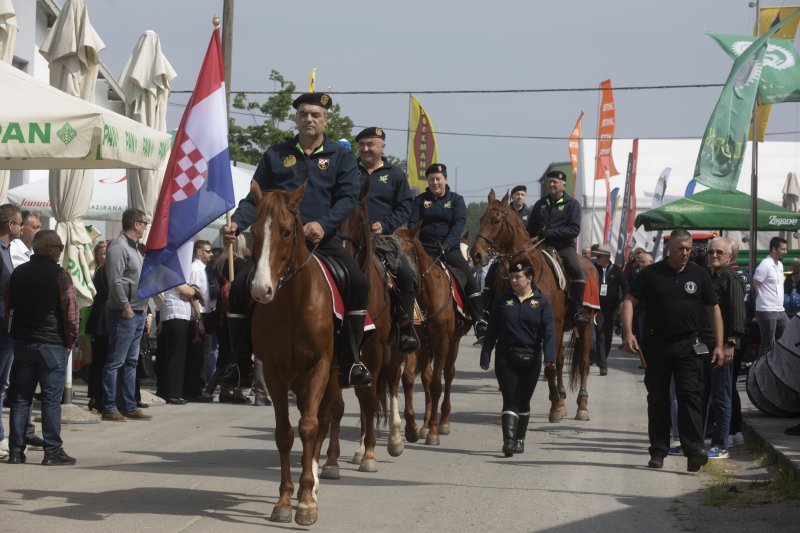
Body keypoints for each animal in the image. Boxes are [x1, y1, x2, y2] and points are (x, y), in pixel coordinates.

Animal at [248, 182, 340, 524]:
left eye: (286, 232)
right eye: (253, 231)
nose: (261, 289)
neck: (292, 305)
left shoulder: (319, 366)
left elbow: (310, 426)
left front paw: (306, 501)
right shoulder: (273, 372)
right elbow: (284, 433)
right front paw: (285, 500)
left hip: (333, 376)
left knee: (323, 419)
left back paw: (313, 483)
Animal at [320, 177, 400, 476]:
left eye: (361, 219)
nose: (344, 252)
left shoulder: (375, 350)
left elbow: (369, 400)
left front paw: (370, 455)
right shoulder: (339, 352)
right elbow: (336, 405)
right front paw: (331, 460)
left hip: (394, 354)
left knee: (389, 387)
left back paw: (394, 441)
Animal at [390, 223, 472, 444]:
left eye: (407, 251)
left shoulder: (443, 341)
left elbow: (437, 384)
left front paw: (434, 430)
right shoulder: (415, 342)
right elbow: (409, 378)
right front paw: (411, 427)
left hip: (453, 343)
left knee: (448, 375)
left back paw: (442, 422)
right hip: (427, 347)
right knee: (426, 376)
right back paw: (425, 425)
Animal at [468, 190, 592, 420]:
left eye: (496, 220)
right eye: (480, 219)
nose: (476, 254)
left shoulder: (554, 325)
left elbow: (549, 366)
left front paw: (556, 407)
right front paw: (554, 402)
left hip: (586, 325)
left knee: (584, 363)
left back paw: (582, 406)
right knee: (560, 359)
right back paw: (562, 396)